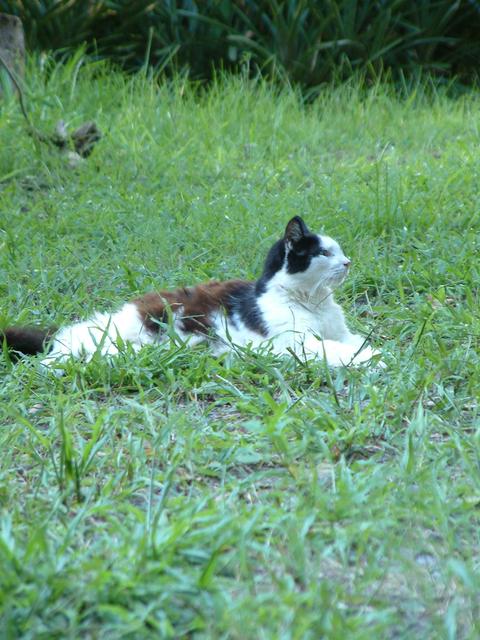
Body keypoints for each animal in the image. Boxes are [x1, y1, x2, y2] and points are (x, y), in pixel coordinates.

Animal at [2, 216, 380, 371]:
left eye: (339, 251)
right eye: (325, 253)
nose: (348, 262)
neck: (313, 301)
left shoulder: (339, 332)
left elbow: (353, 341)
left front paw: (372, 351)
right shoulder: (296, 342)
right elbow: (334, 349)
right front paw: (370, 358)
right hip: (118, 334)